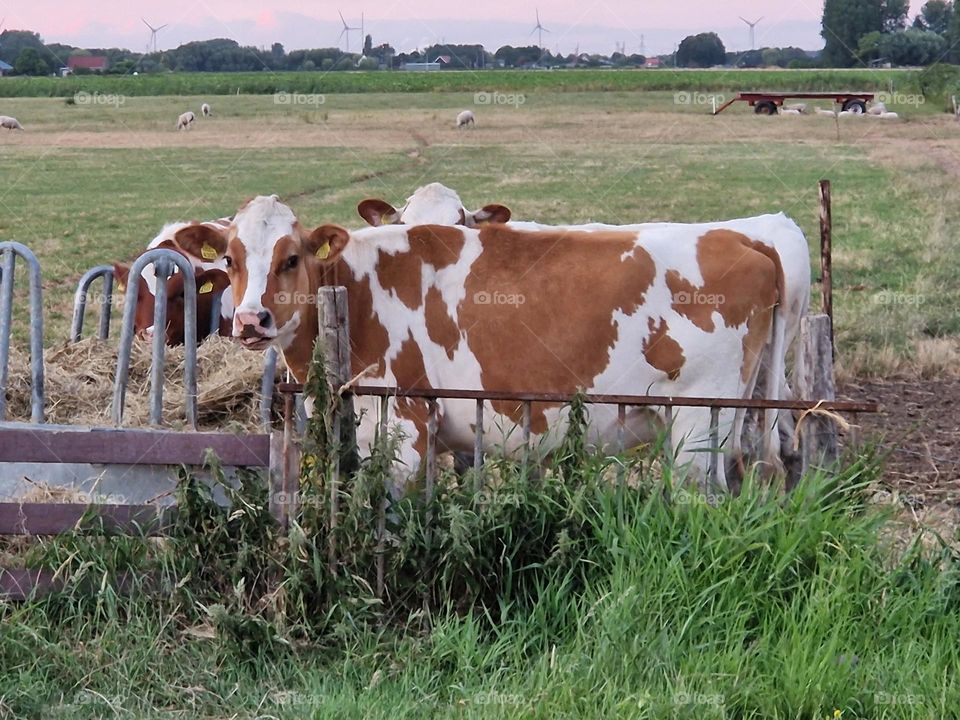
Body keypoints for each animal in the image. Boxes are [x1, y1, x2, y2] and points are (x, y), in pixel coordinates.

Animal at [168, 195, 786, 490]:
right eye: (231, 259)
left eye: (291, 258)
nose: (252, 320)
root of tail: (746, 238)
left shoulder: (404, 425)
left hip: (698, 428)